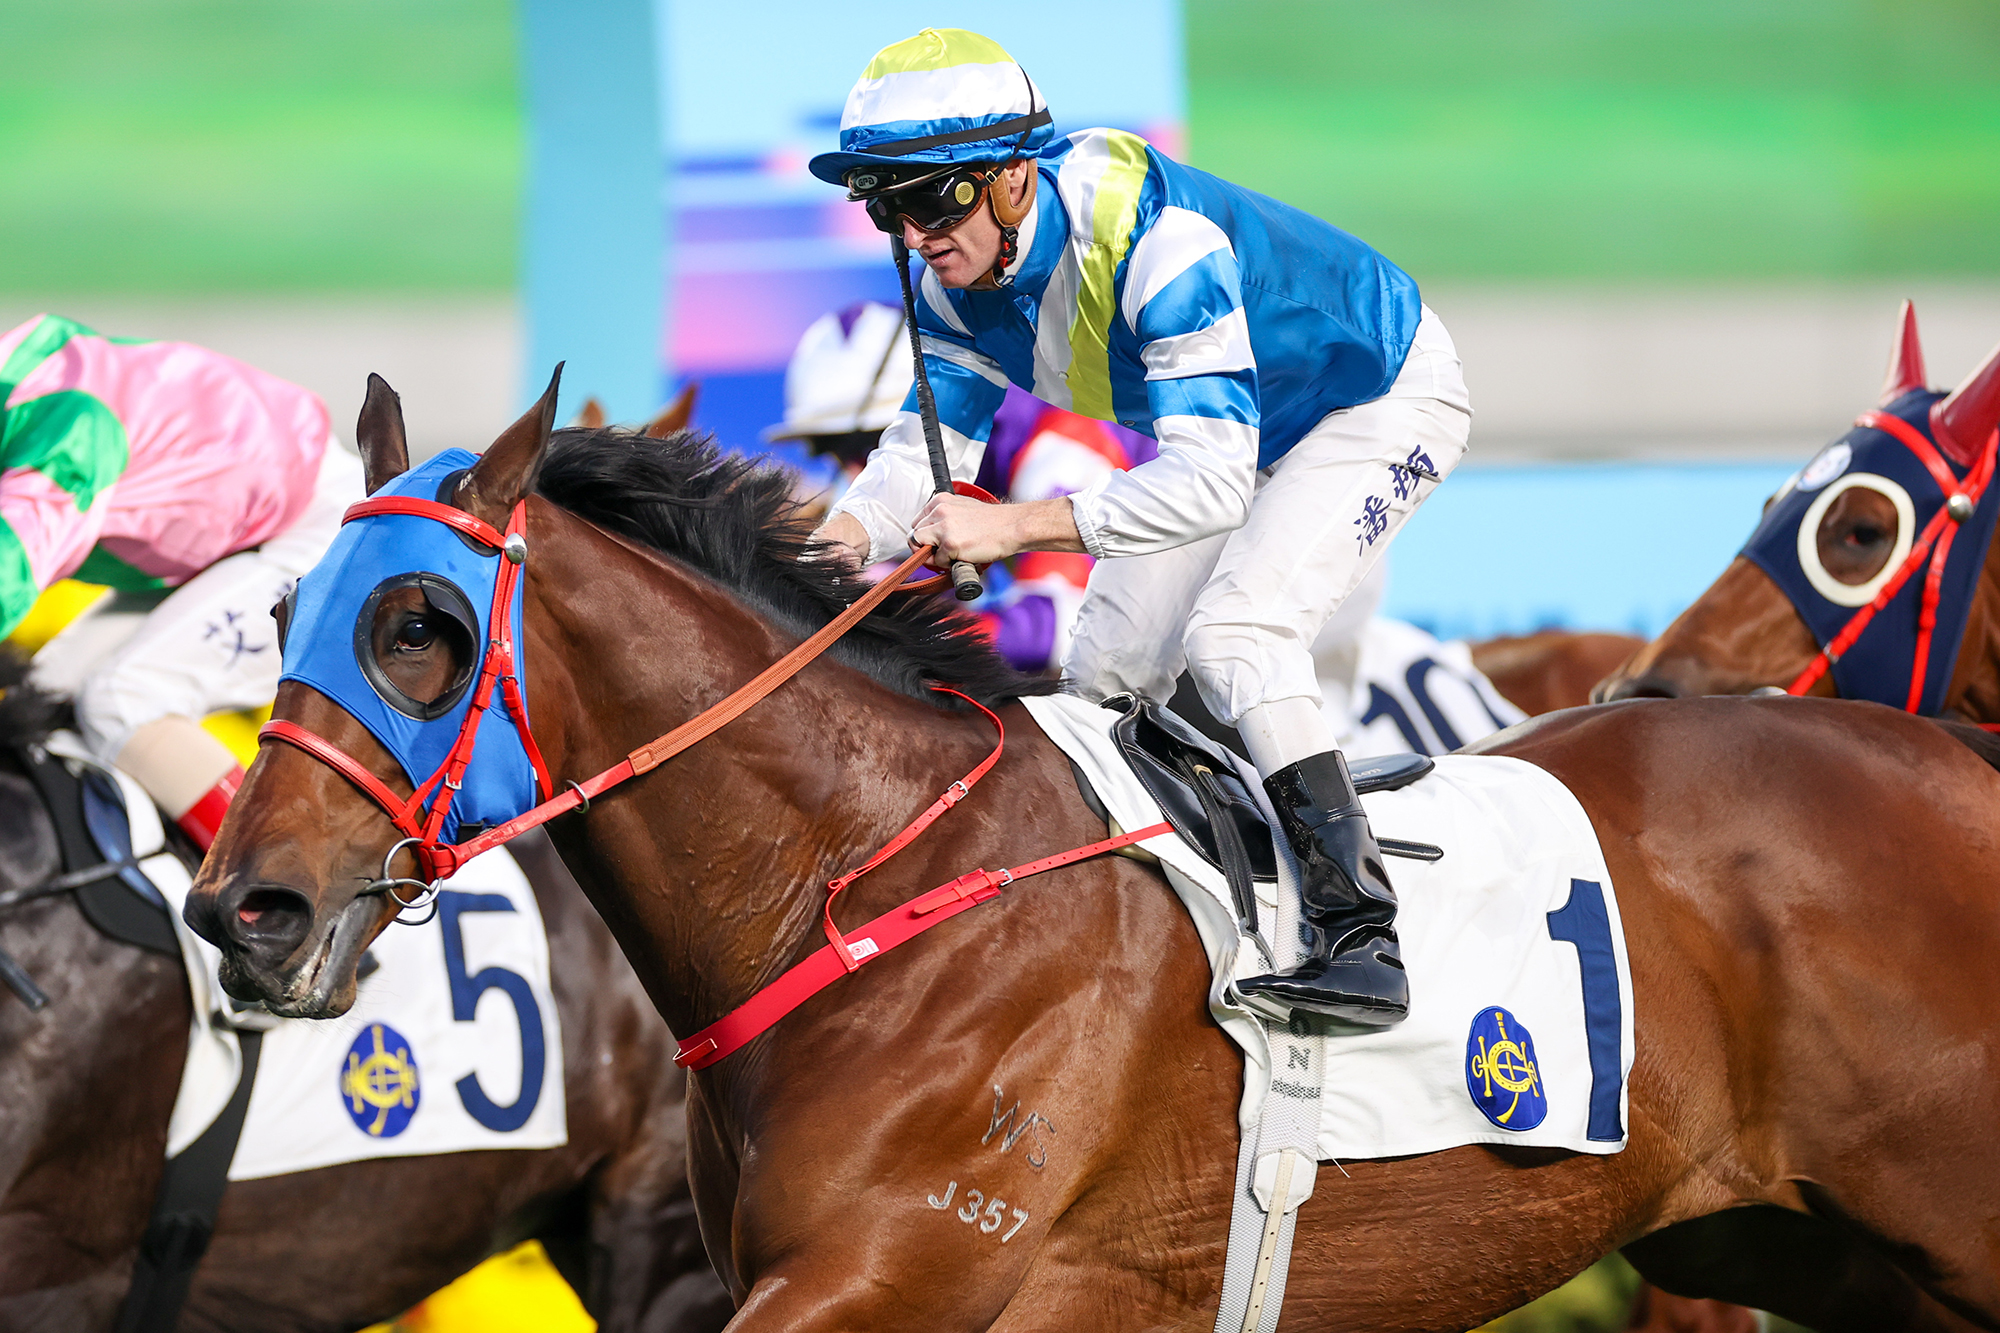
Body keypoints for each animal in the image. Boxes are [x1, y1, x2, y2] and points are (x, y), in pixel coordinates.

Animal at [185, 377, 2000, 1332]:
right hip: (1789, 1236)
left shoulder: (890, 1275)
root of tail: (1948, 756)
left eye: (421, 629)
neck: (869, 897)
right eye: (283, 613)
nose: (240, 905)